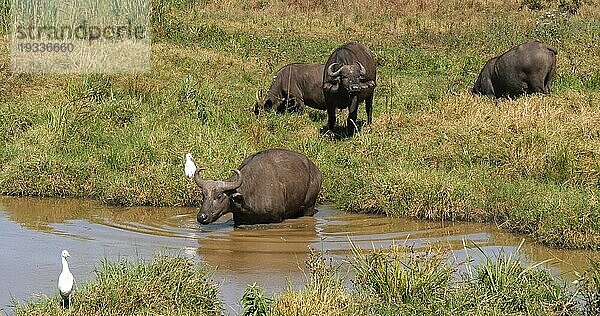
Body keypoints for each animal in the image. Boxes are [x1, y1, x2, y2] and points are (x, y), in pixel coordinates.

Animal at [192, 148, 324, 225]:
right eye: (203, 196)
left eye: (219, 196)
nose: (202, 217)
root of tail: (316, 170)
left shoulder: (276, 218)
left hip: (309, 206)